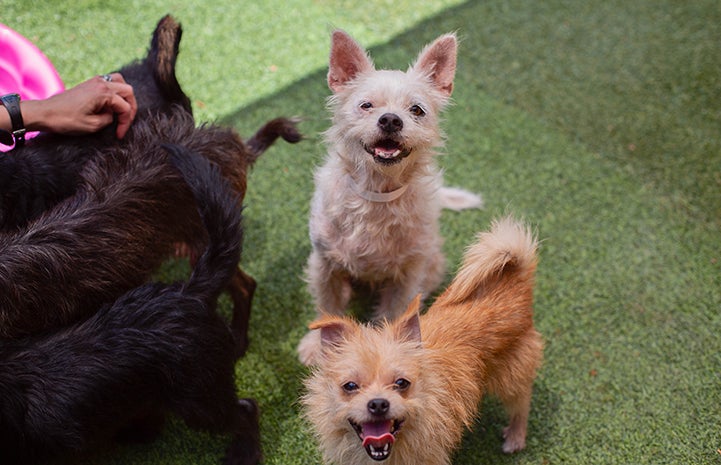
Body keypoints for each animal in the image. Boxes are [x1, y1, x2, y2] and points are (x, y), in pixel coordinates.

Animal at [296, 29, 480, 366]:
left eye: (417, 110)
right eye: (366, 105)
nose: (391, 120)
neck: (376, 194)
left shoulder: (405, 278)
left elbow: (393, 315)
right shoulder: (324, 265)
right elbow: (327, 309)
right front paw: (317, 347)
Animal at [300, 218, 544, 464]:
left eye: (402, 383)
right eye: (350, 386)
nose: (378, 403)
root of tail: (514, 282)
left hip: (512, 377)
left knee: (521, 405)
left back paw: (515, 437)